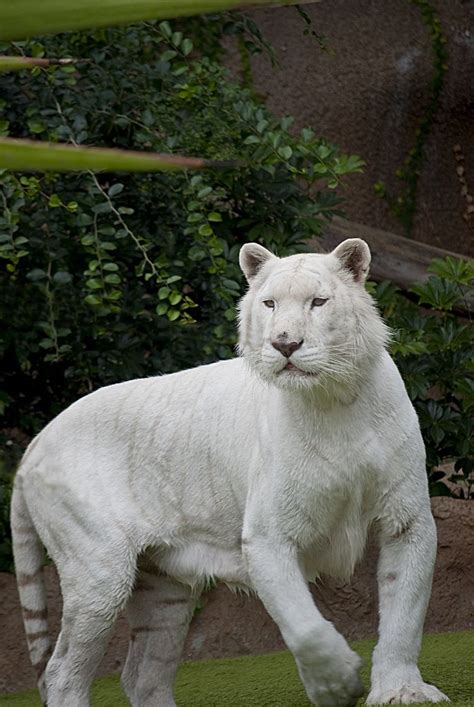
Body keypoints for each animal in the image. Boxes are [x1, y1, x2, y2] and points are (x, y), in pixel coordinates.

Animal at [10, 239, 448, 707]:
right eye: (270, 304)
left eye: (318, 302)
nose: (285, 343)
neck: (334, 399)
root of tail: (36, 442)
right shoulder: (268, 536)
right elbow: (305, 626)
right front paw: (337, 684)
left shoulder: (406, 520)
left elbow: (405, 612)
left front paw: (401, 691)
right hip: (99, 571)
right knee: (62, 672)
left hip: (164, 588)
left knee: (142, 673)